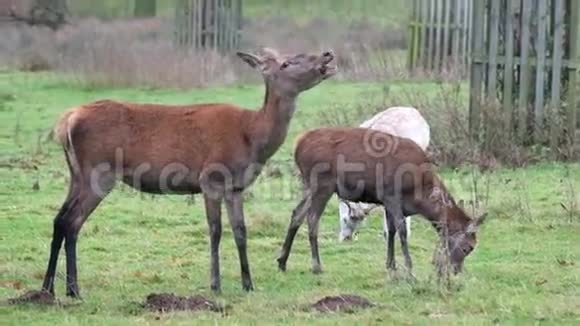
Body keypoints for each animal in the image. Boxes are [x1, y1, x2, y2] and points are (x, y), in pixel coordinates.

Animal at [40, 48, 336, 298]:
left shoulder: (236, 186)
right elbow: (216, 230)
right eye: (287, 63)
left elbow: (240, 231)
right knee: (73, 221)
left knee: (59, 219)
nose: (327, 54)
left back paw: (49, 288)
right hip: (98, 172)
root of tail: (67, 121)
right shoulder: (211, 178)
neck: (252, 138)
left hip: (77, 174)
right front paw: (215, 284)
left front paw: (248, 284)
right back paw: (73, 289)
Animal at [276, 127, 484, 278]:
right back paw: (316, 266)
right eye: (468, 247)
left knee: (296, 213)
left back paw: (282, 262)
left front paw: (391, 265)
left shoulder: (386, 201)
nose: (456, 271)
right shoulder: (391, 194)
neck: (420, 195)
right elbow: (401, 230)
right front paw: (409, 268)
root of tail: (298, 144)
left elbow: (390, 230)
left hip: (308, 184)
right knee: (312, 218)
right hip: (322, 183)